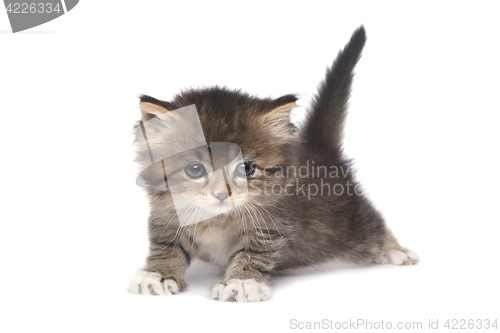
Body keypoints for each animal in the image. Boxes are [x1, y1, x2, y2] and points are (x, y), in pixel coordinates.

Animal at [128, 26, 418, 300]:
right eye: (195, 169)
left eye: (246, 168)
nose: (222, 194)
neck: (218, 218)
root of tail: (321, 150)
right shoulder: (166, 218)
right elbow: (166, 246)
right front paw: (157, 275)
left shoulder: (273, 224)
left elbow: (254, 252)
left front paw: (241, 283)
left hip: (350, 227)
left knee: (374, 228)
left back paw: (395, 250)